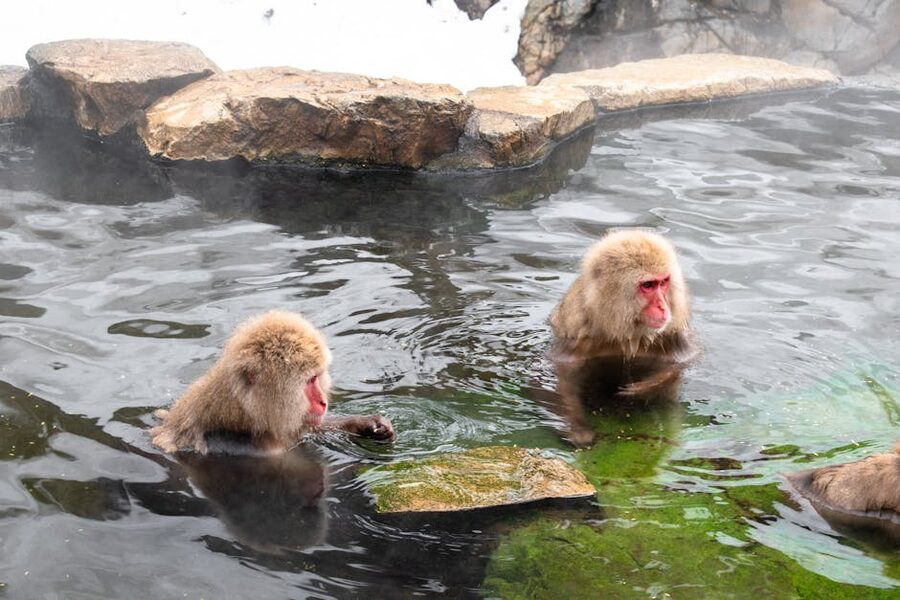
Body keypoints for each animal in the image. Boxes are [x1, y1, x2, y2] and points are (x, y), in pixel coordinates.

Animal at [547, 230, 698, 446]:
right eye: (648, 285)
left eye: (663, 282)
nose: (663, 306)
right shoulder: (578, 338)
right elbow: (565, 377)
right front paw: (578, 427)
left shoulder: (671, 332)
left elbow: (685, 359)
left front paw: (647, 387)